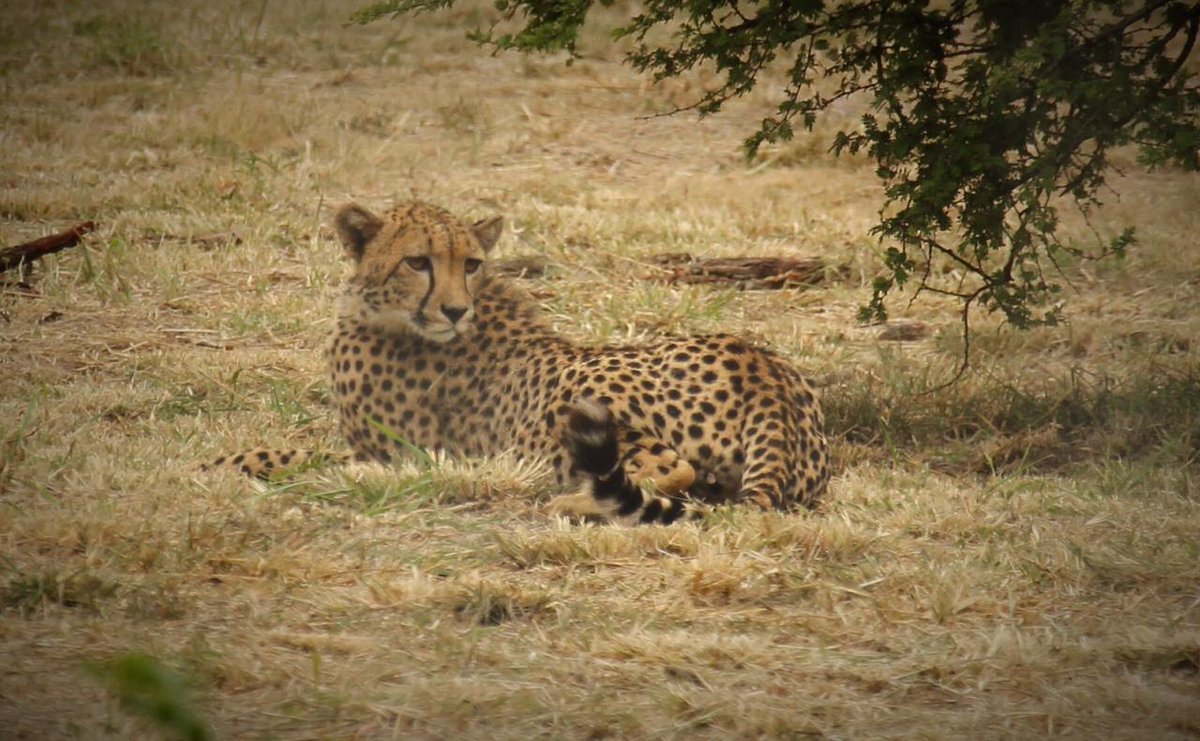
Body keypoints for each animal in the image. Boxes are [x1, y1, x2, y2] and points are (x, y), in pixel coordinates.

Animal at [206, 201, 831, 524]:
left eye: (471, 262)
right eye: (417, 261)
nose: (455, 309)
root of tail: (764, 370)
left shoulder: (399, 453)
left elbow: (290, 452)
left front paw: (223, 463)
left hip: (572, 400)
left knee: (669, 470)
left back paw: (571, 502)